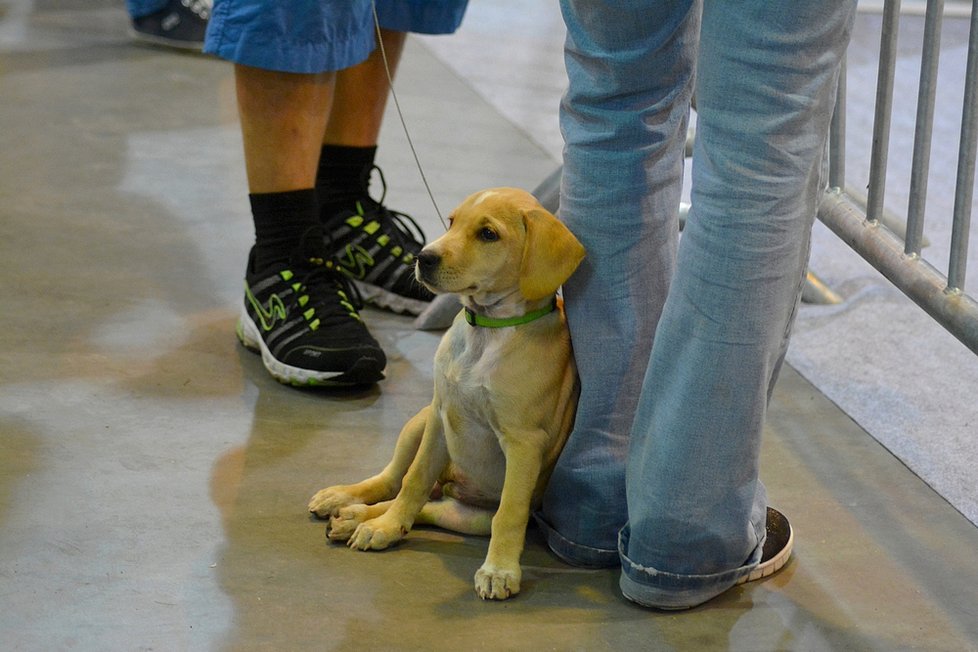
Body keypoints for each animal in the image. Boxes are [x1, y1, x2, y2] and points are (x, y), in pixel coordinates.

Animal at [306, 186, 580, 600]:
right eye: (452, 222)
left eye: (488, 234)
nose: (423, 257)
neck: (486, 333)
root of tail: (449, 485)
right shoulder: (439, 416)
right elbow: (414, 480)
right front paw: (386, 527)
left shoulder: (524, 444)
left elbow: (509, 513)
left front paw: (499, 570)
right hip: (417, 423)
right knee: (393, 480)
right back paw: (348, 503)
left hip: (470, 517)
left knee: (430, 509)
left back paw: (354, 518)